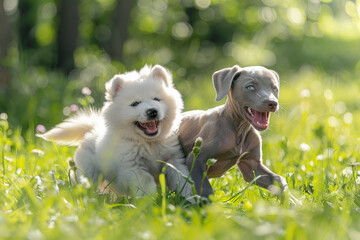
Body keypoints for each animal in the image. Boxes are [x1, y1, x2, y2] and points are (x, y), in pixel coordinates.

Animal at [38, 64, 193, 198]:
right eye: (135, 104)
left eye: (157, 99)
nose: (152, 111)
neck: (148, 143)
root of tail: (92, 129)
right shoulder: (132, 168)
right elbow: (146, 182)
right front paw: (150, 201)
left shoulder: (173, 159)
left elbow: (182, 178)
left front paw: (189, 198)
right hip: (90, 172)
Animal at [179, 64, 288, 198]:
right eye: (250, 87)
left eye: (274, 88)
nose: (272, 103)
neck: (238, 129)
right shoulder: (196, 159)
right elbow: (206, 190)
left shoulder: (252, 166)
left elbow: (279, 179)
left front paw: (289, 199)